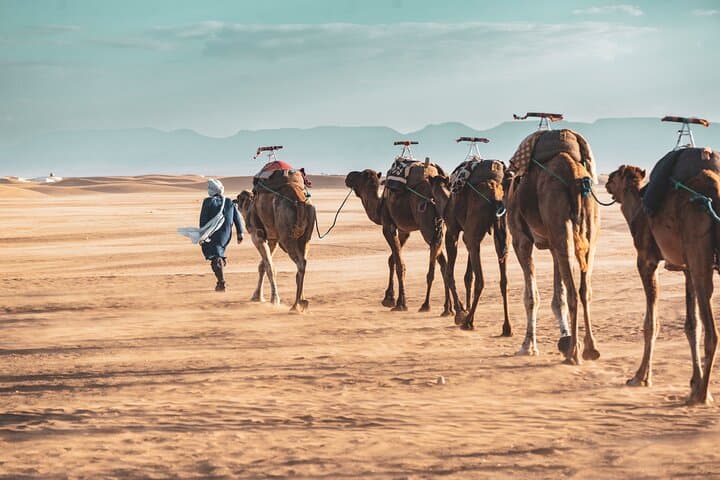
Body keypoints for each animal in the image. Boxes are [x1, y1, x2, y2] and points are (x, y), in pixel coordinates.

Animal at [345, 169, 452, 314]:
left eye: (360, 174)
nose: (348, 176)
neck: (379, 206)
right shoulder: (403, 231)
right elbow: (392, 259)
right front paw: (389, 298)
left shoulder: (387, 226)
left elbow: (400, 265)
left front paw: (400, 303)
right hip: (440, 227)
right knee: (443, 263)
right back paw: (449, 308)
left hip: (427, 227)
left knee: (435, 254)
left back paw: (426, 304)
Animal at [428, 163, 512, 334]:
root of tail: (495, 197)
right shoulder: (470, 236)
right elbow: (468, 276)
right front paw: (464, 308)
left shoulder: (452, 231)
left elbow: (449, 273)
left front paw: (460, 313)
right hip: (500, 231)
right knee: (504, 279)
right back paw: (506, 327)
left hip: (473, 230)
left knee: (481, 281)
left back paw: (468, 322)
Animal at [506, 154, 600, 363]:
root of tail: (573, 175)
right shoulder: (552, 245)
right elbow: (558, 297)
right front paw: (564, 337)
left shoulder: (520, 240)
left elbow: (531, 297)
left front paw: (527, 346)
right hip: (588, 224)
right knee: (585, 289)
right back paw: (590, 349)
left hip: (557, 217)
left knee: (574, 292)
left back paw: (573, 353)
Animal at [606, 164, 720, 404]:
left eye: (617, 173)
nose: (607, 181)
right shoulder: (686, 269)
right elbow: (692, 325)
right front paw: (693, 382)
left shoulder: (646, 260)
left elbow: (651, 324)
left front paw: (640, 377)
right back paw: (700, 391)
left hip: (700, 258)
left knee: (713, 333)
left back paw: (702, 396)